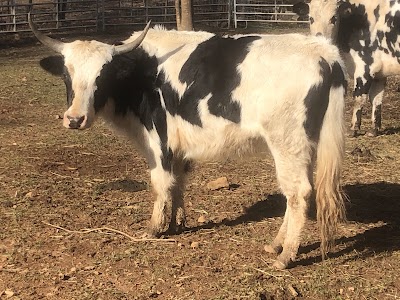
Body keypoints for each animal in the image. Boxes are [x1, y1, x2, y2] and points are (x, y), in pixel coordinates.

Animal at [29, 12, 346, 268]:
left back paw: (286, 254)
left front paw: (154, 228)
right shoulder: (179, 147)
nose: (74, 119)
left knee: (298, 193)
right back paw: (276, 244)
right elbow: (179, 182)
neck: (142, 73)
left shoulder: (158, 140)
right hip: (305, 146)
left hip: (287, 142)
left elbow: (161, 183)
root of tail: (324, 54)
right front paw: (177, 222)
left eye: (102, 75)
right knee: (299, 192)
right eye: (67, 75)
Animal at [294, 0, 400, 136]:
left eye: (334, 18)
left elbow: (359, 98)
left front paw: (354, 128)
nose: (320, 38)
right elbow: (376, 99)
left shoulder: (364, 67)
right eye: (310, 18)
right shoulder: (380, 72)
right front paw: (374, 129)